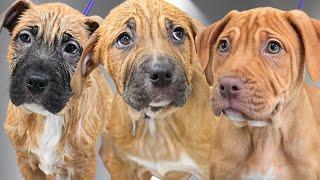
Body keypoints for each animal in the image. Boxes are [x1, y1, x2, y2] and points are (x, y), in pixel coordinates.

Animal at [0, 0, 112, 179]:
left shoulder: (83, 167)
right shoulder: (26, 163)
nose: (36, 82)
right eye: (25, 37)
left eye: (71, 48)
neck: (47, 118)